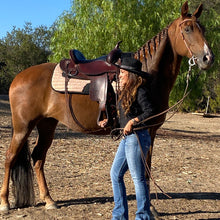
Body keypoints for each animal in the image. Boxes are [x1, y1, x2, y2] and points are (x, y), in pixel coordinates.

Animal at [0, 1, 213, 211]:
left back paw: (49, 200)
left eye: (203, 29)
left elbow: (147, 168)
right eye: (187, 29)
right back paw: (5, 203)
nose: (208, 58)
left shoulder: (149, 131)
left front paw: (150, 206)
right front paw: (148, 207)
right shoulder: (145, 129)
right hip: (23, 126)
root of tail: (19, 77)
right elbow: (144, 169)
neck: (145, 75)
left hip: (47, 125)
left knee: (38, 158)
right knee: (10, 157)